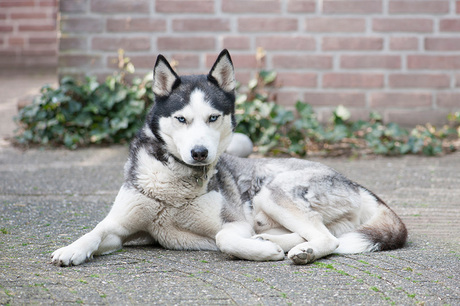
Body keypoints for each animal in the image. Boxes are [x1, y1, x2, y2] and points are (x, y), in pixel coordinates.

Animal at [52, 49, 408, 266]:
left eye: (213, 118)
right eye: (181, 119)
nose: (199, 152)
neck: (174, 188)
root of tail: (355, 183)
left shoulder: (234, 224)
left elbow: (224, 238)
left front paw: (262, 252)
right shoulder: (119, 228)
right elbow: (95, 232)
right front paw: (71, 250)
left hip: (272, 193)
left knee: (329, 238)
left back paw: (299, 250)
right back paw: (279, 241)